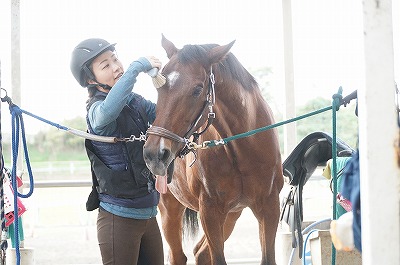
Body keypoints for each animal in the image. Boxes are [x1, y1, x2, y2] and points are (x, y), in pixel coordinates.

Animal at [144, 35, 284, 264]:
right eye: (160, 87)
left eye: (197, 89)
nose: (154, 154)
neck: (243, 150)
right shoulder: (209, 211)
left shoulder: (269, 207)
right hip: (170, 210)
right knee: (178, 255)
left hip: (232, 214)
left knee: (200, 252)